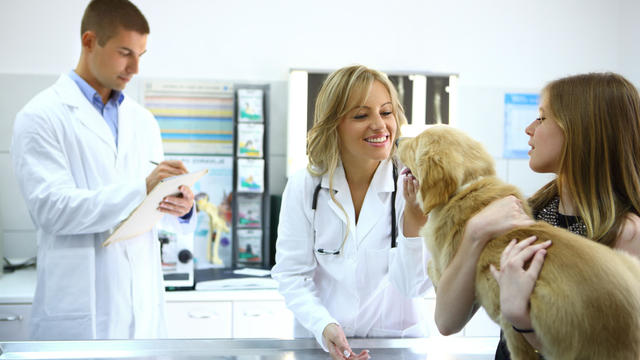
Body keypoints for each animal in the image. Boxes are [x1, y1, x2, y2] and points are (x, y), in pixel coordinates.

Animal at [398, 125, 640, 358]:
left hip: (516, 323)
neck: (467, 187)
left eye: (416, 142)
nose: (399, 139)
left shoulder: (445, 272)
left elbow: (431, 267)